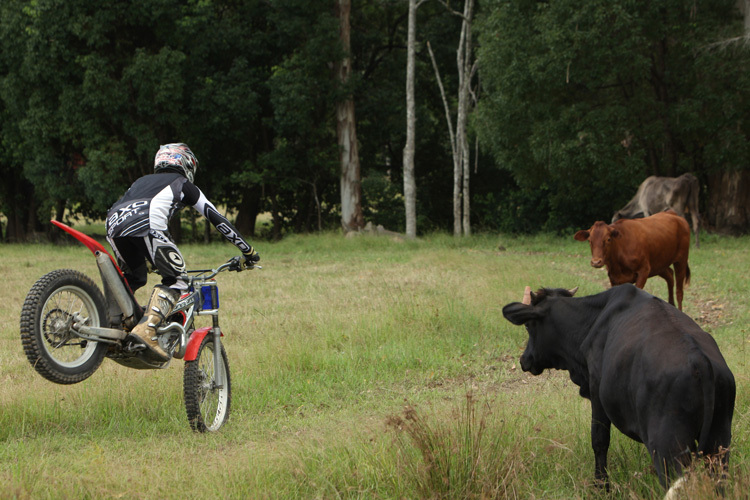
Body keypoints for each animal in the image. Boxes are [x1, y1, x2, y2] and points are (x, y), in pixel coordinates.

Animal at [502, 284, 736, 490]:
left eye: (528, 326)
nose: (524, 360)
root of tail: (699, 359)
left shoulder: (596, 390)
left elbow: (599, 440)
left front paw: (601, 486)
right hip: (719, 442)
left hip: (668, 447)